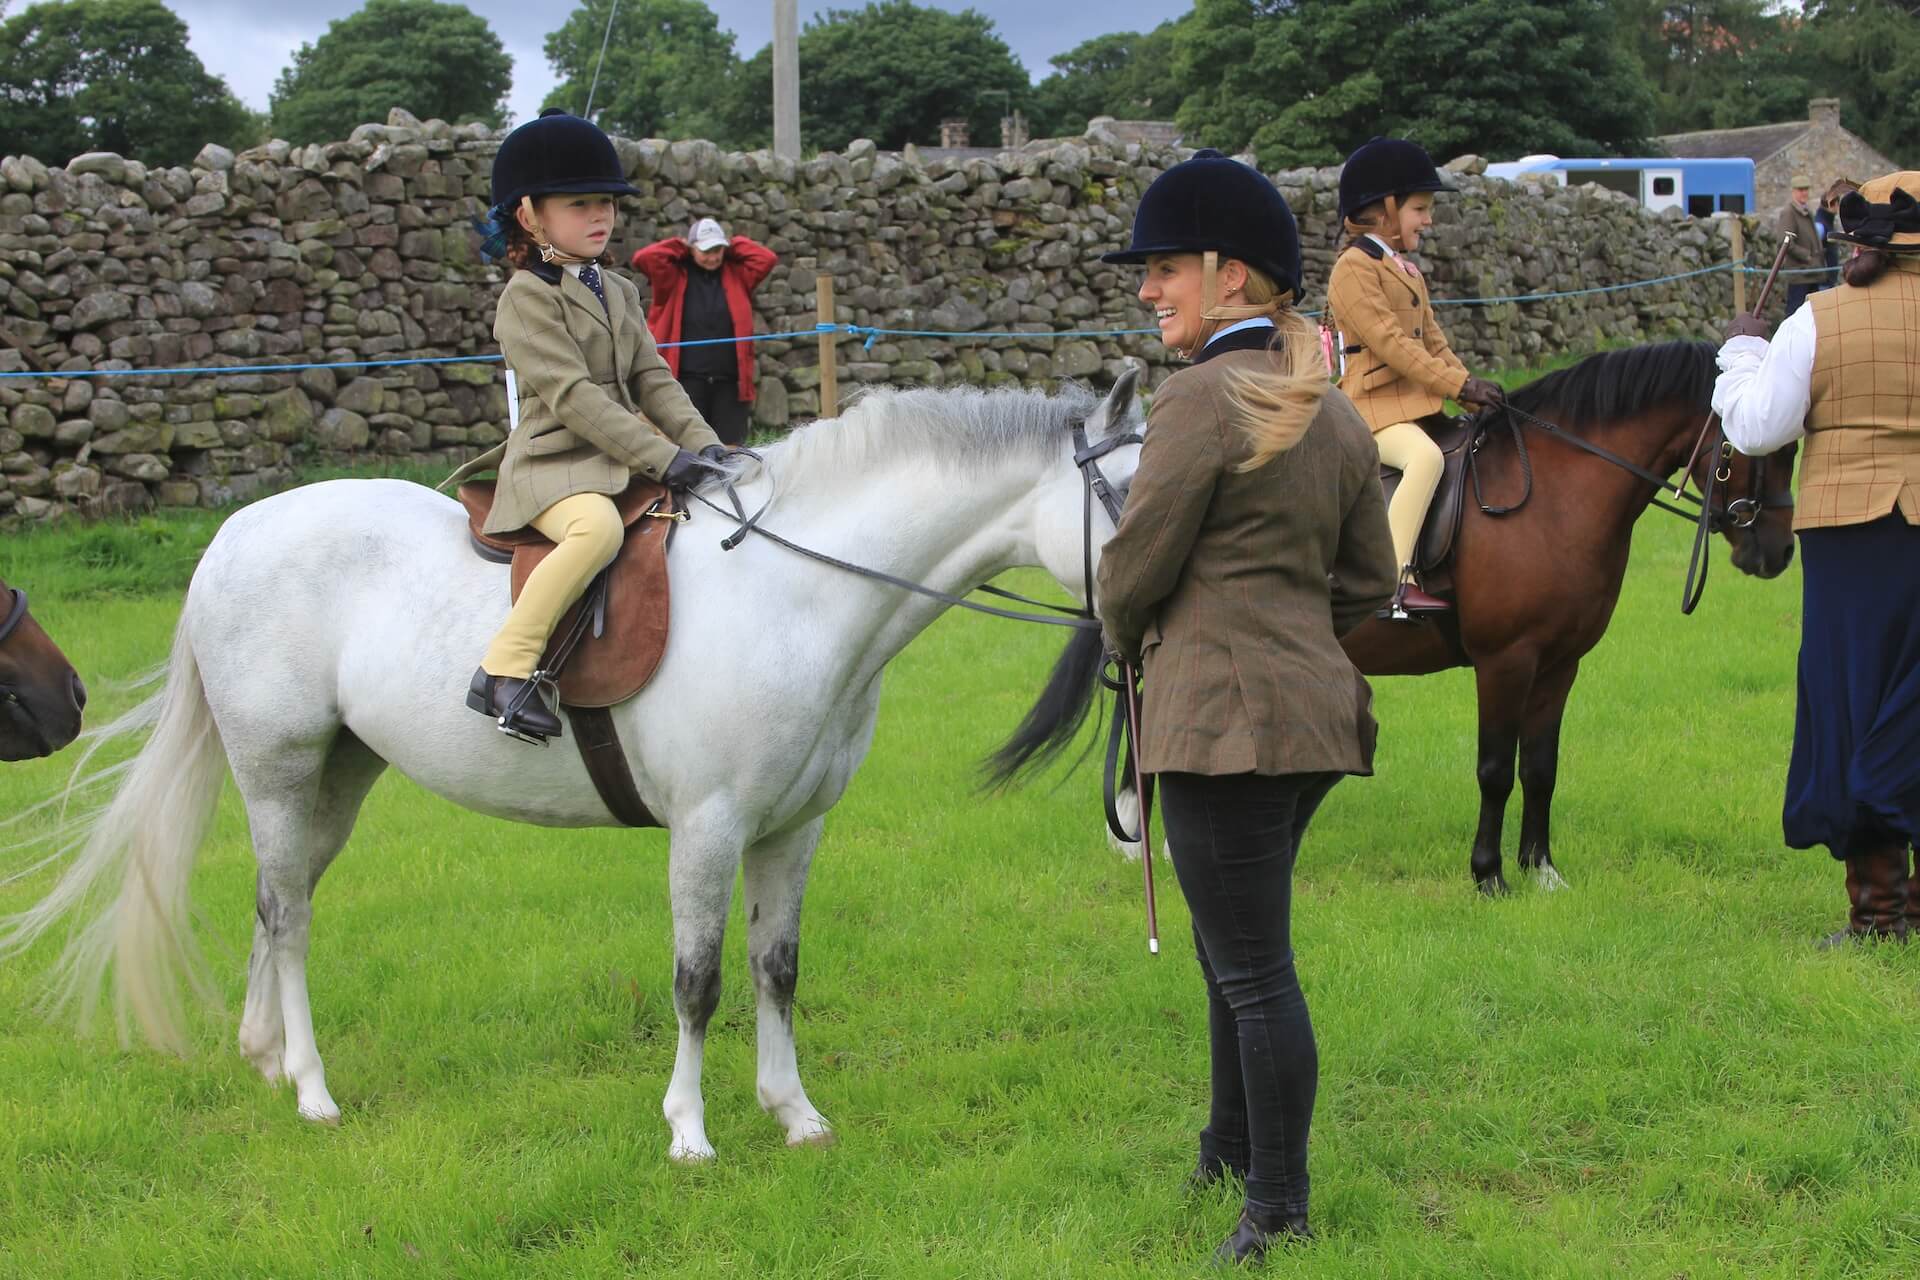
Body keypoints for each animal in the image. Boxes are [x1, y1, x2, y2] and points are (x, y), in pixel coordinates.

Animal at [1026, 342, 1798, 893]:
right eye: (1753, 443)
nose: (1776, 552)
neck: (1555, 493)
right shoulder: (1506, 661)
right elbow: (1496, 768)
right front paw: (1488, 875)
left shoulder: (1559, 664)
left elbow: (1541, 767)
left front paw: (1542, 870)